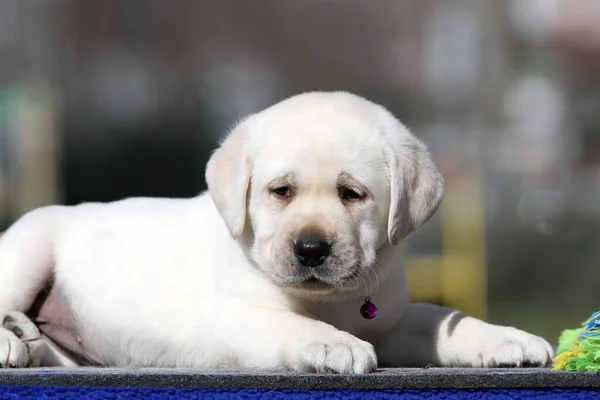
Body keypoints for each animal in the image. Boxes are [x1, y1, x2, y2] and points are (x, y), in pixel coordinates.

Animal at [0, 91, 552, 372]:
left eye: (353, 194)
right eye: (280, 191)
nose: (310, 249)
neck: (332, 301)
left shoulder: (391, 321)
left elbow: (441, 318)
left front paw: (509, 339)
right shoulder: (236, 319)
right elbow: (295, 325)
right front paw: (335, 346)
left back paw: (27, 338)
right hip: (29, 249)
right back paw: (11, 339)